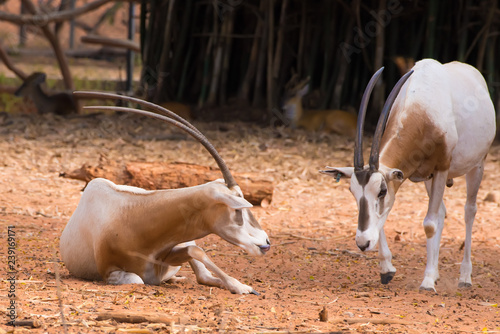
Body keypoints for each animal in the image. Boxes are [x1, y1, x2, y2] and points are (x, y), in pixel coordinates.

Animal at [60, 91, 272, 294]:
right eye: (238, 209)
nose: (266, 242)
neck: (132, 220)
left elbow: (195, 250)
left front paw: (242, 286)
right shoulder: (109, 272)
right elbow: (139, 279)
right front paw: (242, 287)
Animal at [322, 60, 494, 292]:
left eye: (381, 191)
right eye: (352, 192)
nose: (362, 243)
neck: (421, 106)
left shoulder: (441, 168)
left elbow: (429, 224)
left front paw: (427, 282)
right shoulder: (417, 176)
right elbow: (384, 218)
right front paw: (387, 269)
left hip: (476, 165)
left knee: (469, 210)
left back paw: (465, 277)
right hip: (430, 179)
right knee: (441, 212)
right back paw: (438, 272)